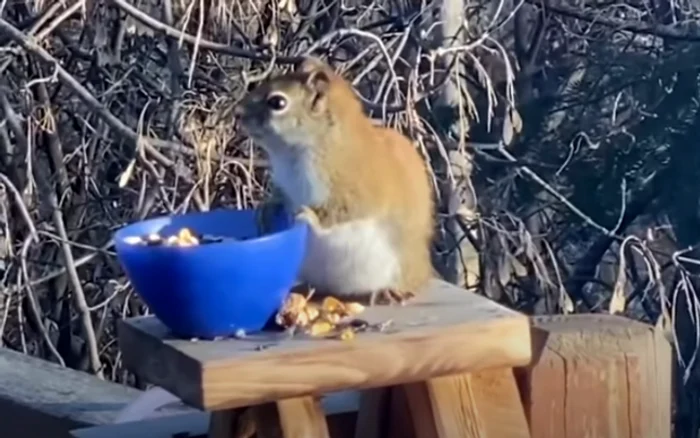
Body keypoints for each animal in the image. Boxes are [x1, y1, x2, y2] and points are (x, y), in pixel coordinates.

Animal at [232, 56, 434, 304]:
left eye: (277, 102)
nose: (238, 112)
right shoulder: (286, 182)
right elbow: (282, 195)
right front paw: (268, 207)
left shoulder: (355, 187)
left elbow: (342, 211)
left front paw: (308, 215)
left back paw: (389, 291)